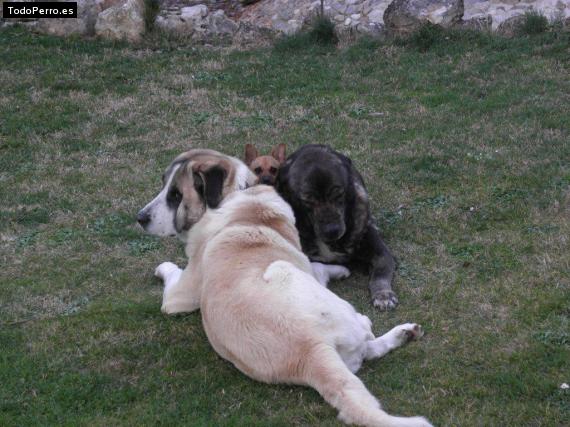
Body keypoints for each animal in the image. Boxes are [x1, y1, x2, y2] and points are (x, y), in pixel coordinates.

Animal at [276, 145, 394, 310]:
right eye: (308, 201)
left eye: (339, 195)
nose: (332, 230)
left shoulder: (379, 251)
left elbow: (382, 268)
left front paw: (383, 294)